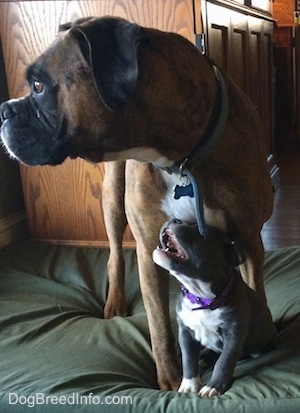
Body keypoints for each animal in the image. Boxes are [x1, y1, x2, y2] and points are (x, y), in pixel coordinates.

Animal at [154, 219, 278, 396]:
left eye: (202, 234)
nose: (174, 219)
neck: (203, 298)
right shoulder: (185, 333)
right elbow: (188, 359)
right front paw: (189, 384)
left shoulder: (234, 334)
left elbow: (224, 361)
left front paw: (214, 386)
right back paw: (203, 359)